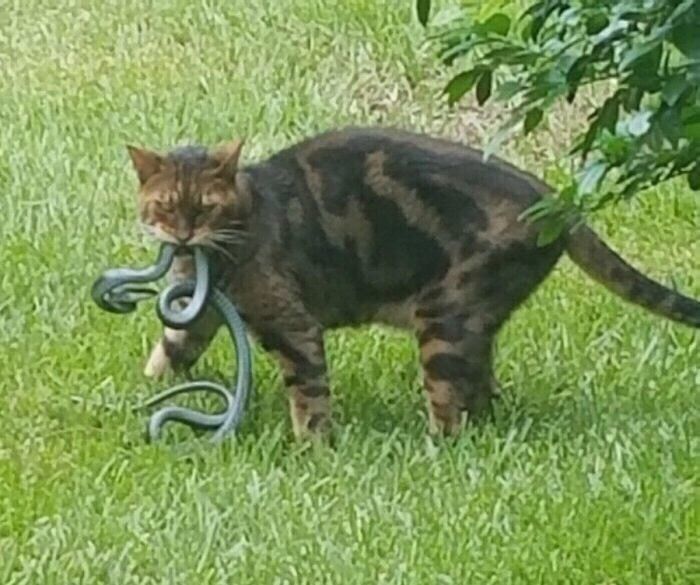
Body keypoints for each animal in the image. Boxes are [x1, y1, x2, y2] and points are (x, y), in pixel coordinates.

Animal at [126, 128, 700, 438]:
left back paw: (434, 447)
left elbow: (309, 396)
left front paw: (313, 448)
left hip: (443, 316)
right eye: (165, 207)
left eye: (204, 208)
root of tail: (554, 198)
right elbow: (167, 354)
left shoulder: (293, 325)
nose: (182, 234)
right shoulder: (197, 316)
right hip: (471, 320)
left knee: (450, 409)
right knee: (482, 390)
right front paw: (139, 395)